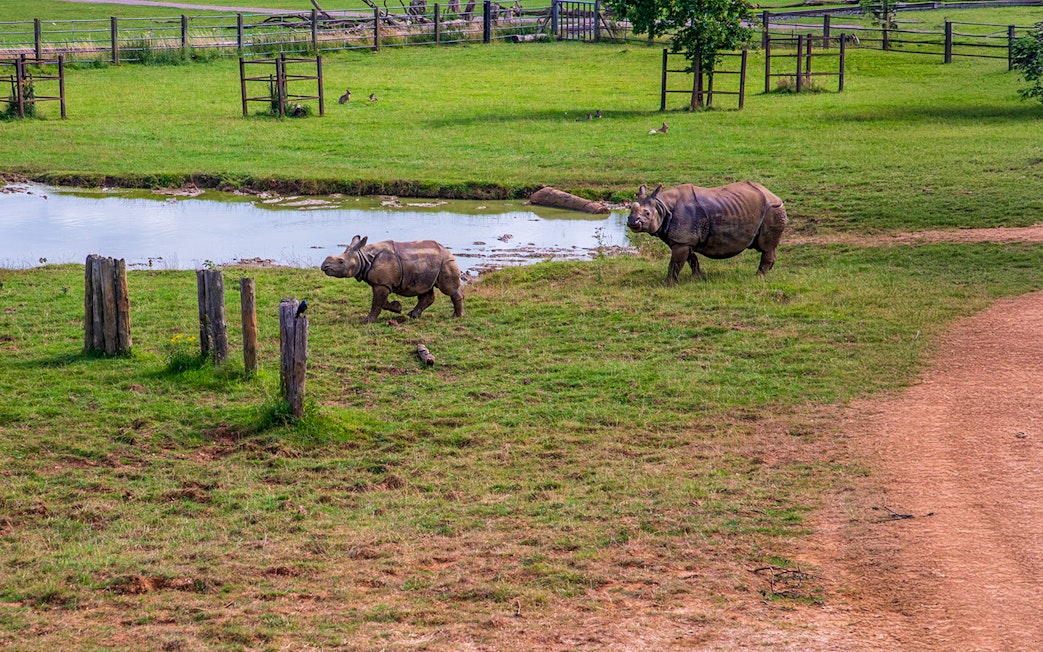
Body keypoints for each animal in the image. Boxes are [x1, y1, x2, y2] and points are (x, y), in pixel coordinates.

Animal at [320, 235, 464, 323]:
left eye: (341, 261)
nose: (324, 266)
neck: (364, 258)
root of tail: (448, 251)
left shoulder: (382, 284)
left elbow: (377, 302)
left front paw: (367, 321)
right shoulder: (381, 283)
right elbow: (381, 302)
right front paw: (398, 307)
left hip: (446, 261)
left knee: (449, 289)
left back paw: (456, 317)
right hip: (428, 264)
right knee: (425, 289)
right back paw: (413, 315)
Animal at [627, 181, 788, 285]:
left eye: (647, 213)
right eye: (630, 209)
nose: (632, 222)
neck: (662, 206)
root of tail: (773, 195)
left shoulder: (682, 241)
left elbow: (675, 263)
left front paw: (667, 284)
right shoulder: (684, 240)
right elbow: (691, 259)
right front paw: (698, 277)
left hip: (773, 209)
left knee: (766, 246)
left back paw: (758, 277)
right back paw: (763, 274)